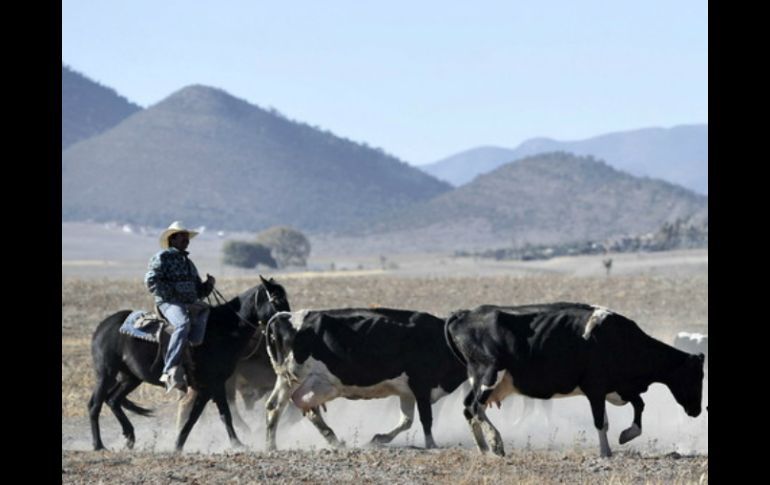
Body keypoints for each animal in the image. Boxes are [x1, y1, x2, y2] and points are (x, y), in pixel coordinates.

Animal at [87, 276, 290, 450]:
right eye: (276, 300)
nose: (287, 326)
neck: (222, 330)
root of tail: (103, 325)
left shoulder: (215, 385)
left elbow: (220, 414)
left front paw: (236, 443)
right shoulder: (208, 385)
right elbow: (197, 416)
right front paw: (179, 444)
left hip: (131, 377)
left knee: (113, 400)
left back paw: (129, 437)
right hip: (106, 373)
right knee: (95, 405)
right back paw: (99, 445)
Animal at [264, 306, 468, 450]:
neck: (440, 340)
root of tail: (284, 316)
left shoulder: (407, 391)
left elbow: (406, 421)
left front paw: (379, 438)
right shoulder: (421, 385)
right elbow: (426, 418)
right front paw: (431, 445)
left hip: (306, 382)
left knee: (303, 409)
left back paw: (332, 441)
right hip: (293, 377)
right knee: (279, 407)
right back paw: (273, 446)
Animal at [444, 302, 704, 458]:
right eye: (695, 376)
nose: (697, 411)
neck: (620, 340)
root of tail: (465, 314)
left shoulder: (619, 388)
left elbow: (638, 406)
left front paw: (625, 435)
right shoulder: (596, 388)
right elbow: (601, 421)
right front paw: (606, 451)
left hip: (477, 378)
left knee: (468, 408)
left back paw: (484, 448)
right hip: (489, 374)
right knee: (475, 406)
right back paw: (495, 442)